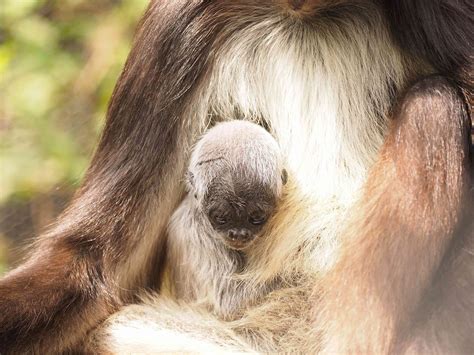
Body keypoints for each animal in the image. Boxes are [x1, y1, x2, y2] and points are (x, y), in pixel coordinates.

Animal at [0, 1, 474, 354]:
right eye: (224, 218)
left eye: (256, 216)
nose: (240, 233)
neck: (304, 13)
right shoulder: (176, 24)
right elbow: (96, 264)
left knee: (432, 106)